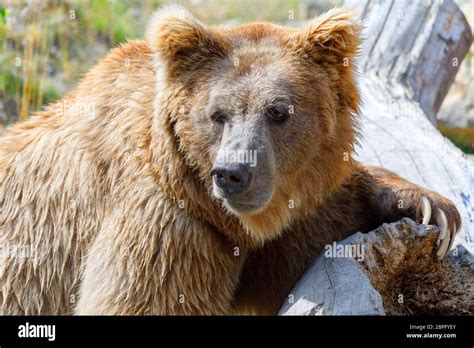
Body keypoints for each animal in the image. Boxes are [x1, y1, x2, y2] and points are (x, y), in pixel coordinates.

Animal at [0, 5, 460, 316]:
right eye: (217, 114)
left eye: (279, 111)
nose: (232, 174)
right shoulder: (169, 228)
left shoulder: (271, 225)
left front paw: (429, 207)